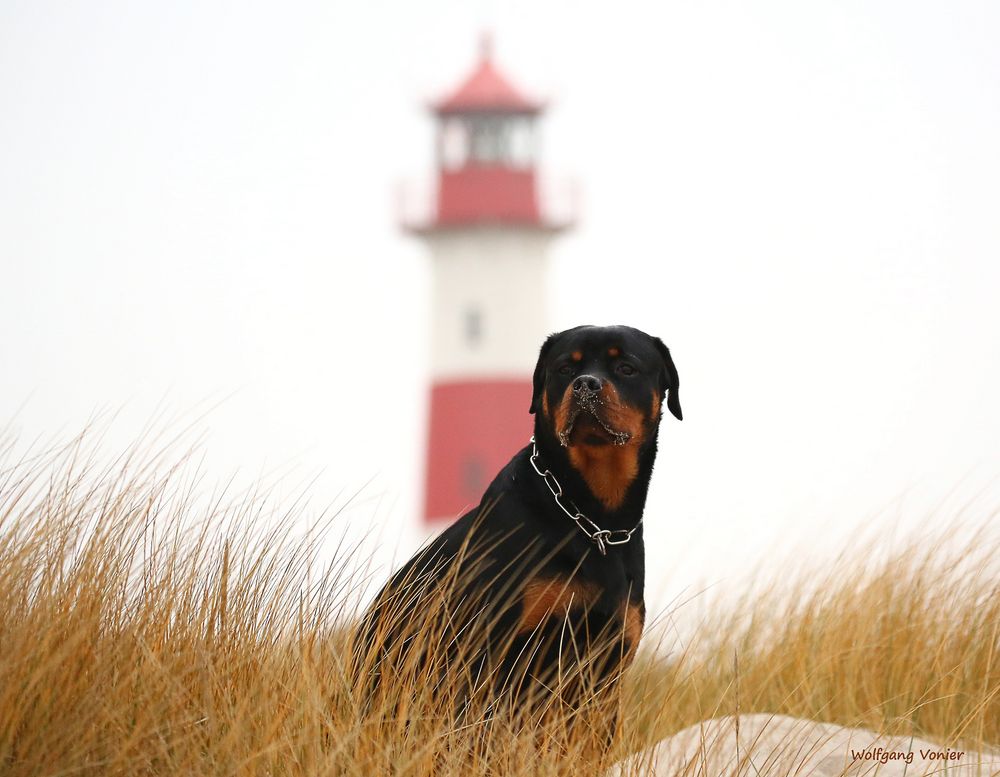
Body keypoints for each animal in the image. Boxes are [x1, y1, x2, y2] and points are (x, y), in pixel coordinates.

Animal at [352, 324, 680, 744]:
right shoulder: (494, 652)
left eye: (626, 367)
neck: (593, 519)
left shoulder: (606, 670)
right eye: (564, 368)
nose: (585, 384)